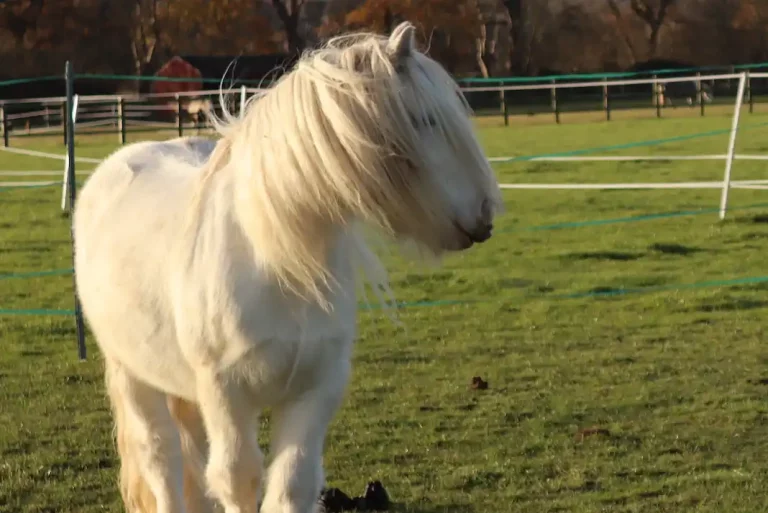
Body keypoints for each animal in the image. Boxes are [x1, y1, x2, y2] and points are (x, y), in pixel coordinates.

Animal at [73, 21, 503, 513]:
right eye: (426, 119)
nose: (486, 213)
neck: (277, 264)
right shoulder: (226, 396)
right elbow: (238, 481)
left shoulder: (315, 391)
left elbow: (292, 487)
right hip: (133, 375)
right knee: (162, 459)